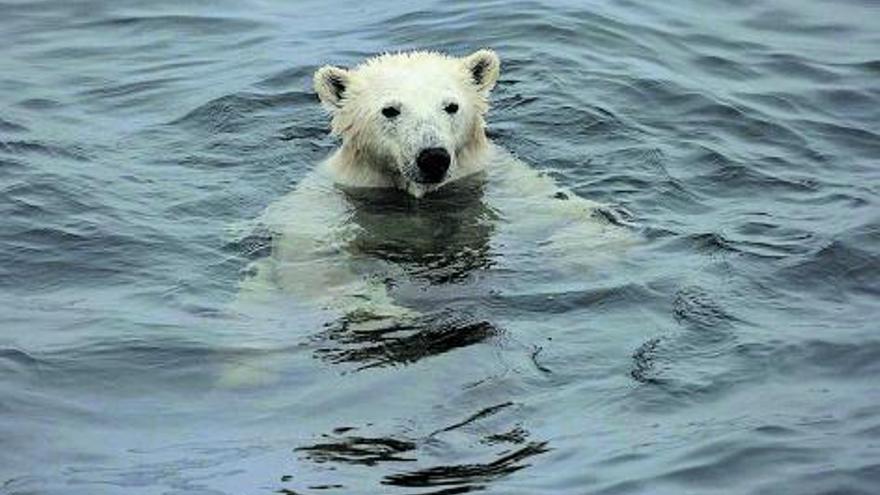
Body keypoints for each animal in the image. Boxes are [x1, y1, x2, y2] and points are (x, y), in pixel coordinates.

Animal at [237, 48, 628, 334]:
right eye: (390, 110)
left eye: (451, 105)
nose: (433, 157)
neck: (418, 194)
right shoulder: (329, 198)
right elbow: (312, 265)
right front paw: (388, 311)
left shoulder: (487, 174)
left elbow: (551, 207)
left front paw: (589, 249)